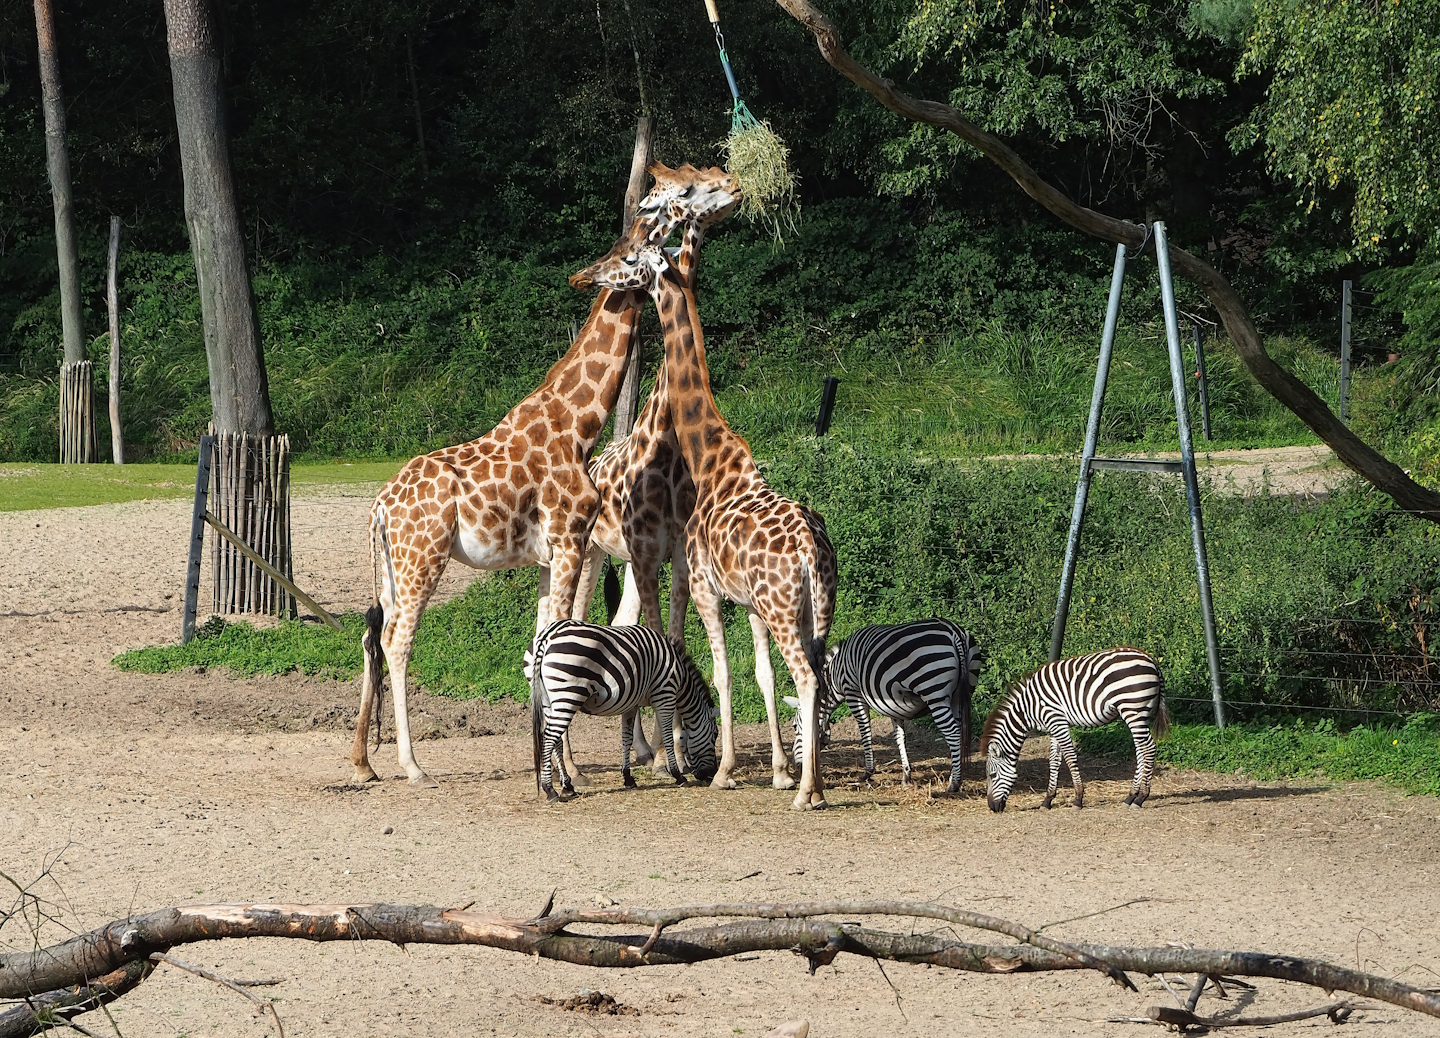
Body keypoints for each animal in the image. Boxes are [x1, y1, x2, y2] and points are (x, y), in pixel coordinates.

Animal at [529, 619, 718, 801]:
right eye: (715, 735)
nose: (712, 774)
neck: (681, 677)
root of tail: (547, 636)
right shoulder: (665, 695)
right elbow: (668, 737)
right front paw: (678, 776)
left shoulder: (631, 704)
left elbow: (627, 739)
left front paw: (628, 778)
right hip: (568, 695)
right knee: (549, 738)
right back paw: (550, 790)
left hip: (549, 700)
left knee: (556, 741)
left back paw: (567, 787)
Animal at [571, 236, 837, 811]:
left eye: (630, 259)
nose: (586, 277)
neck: (707, 453)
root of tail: (810, 549)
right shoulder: (750, 602)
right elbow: (759, 673)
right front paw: (779, 771)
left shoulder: (706, 587)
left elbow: (722, 672)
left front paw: (725, 771)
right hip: (816, 608)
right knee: (816, 675)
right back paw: (814, 786)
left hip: (784, 609)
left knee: (806, 679)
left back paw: (808, 793)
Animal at [784, 619, 984, 794]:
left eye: (794, 727)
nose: (795, 767)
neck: (835, 675)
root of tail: (954, 631)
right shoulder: (895, 705)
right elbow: (900, 737)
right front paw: (906, 775)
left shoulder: (853, 692)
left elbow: (865, 731)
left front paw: (867, 772)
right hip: (960, 693)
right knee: (959, 731)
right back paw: (953, 776)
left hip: (934, 693)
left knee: (953, 733)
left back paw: (954, 783)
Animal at [979, 647, 1170, 812]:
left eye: (992, 775)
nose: (992, 808)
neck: (1028, 708)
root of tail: (1151, 660)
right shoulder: (1054, 725)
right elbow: (1054, 761)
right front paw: (1047, 800)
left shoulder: (1057, 721)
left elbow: (1070, 758)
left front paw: (1078, 798)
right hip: (1138, 713)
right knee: (1141, 749)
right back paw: (1131, 796)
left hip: (1133, 708)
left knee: (1149, 747)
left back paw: (1141, 798)